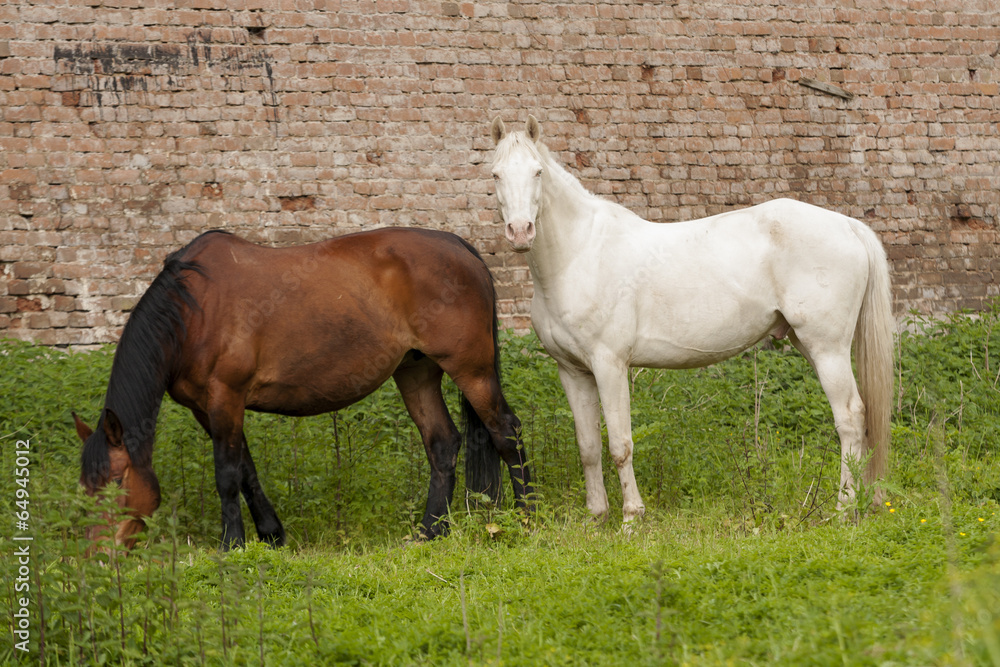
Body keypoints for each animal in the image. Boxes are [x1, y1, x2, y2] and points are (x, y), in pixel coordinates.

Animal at [74, 227, 532, 550]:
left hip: (472, 370)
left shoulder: (226, 397)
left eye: (115, 482)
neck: (193, 310)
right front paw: (271, 536)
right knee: (442, 444)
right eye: (86, 487)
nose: (100, 555)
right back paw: (430, 533)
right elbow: (247, 470)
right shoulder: (207, 409)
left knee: (506, 432)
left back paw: (528, 516)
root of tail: (461, 247)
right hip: (416, 372)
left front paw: (232, 544)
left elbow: (226, 474)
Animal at [488, 115, 894, 525]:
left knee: (850, 417)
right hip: (809, 344)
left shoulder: (609, 365)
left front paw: (631, 518)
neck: (580, 254)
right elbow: (588, 447)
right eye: (495, 174)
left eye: (538, 172)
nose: (520, 232)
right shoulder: (572, 371)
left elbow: (620, 444)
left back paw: (843, 510)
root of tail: (848, 225)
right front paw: (596, 516)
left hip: (828, 349)